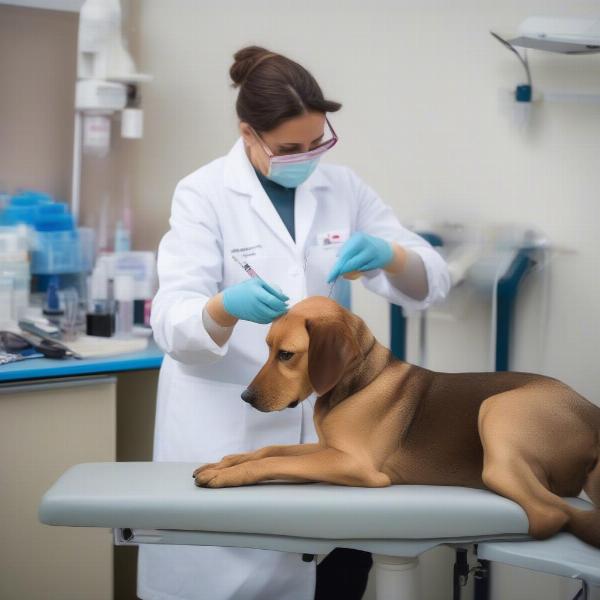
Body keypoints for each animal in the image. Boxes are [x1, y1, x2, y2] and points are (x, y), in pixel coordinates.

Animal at [193, 296, 600, 548]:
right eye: (267, 348)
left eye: (286, 354)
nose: (246, 397)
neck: (360, 382)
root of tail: (591, 413)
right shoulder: (327, 448)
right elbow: (270, 448)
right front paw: (226, 462)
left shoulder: (353, 464)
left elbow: (274, 460)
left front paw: (227, 475)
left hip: (497, 409)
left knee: (549, 513)